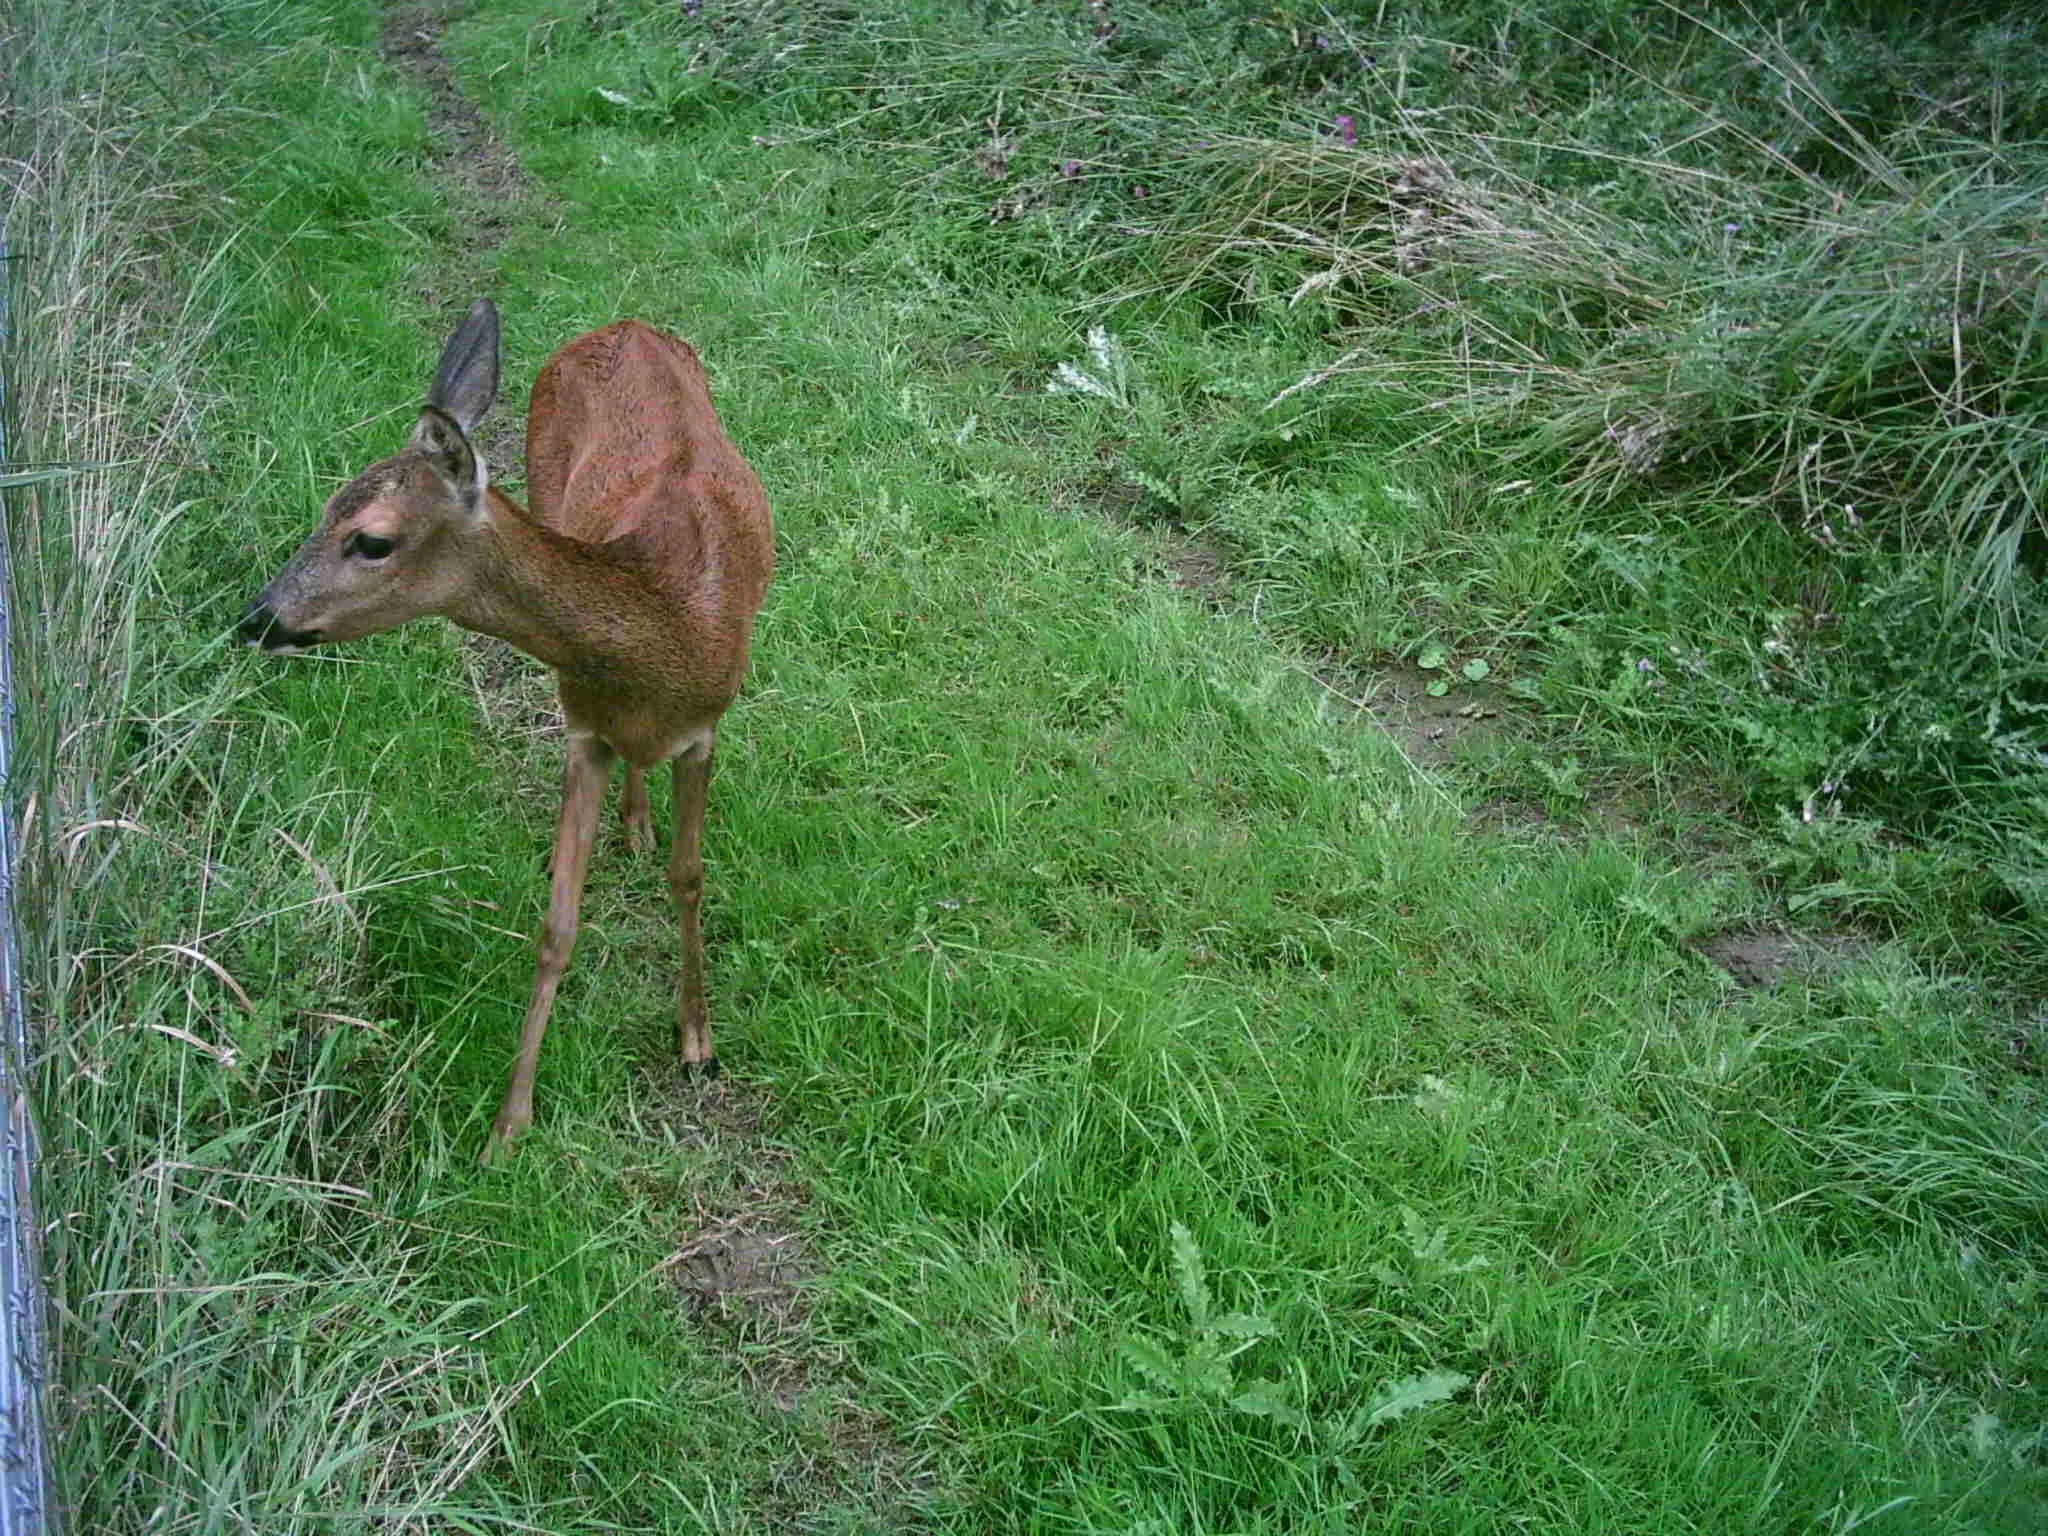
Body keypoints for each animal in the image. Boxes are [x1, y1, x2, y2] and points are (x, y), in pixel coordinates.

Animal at [238, 300, 774, 1164]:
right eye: (326, 509)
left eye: (371, 538)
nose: (257, 618)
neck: (662, 631)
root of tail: (624, 325)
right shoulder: (584, 732)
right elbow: (557, 924)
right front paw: (508, 1126)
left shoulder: (705, 729)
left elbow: (690, 878)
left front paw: (698, 1042)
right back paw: (632, 820)